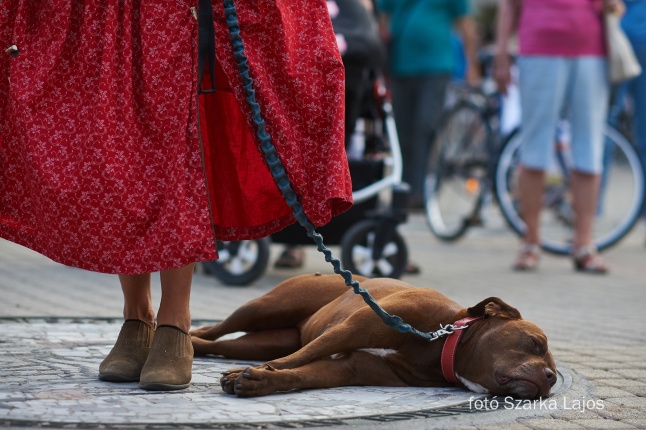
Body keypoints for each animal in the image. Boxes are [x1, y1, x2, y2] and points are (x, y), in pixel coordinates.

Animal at [191, 274, 556, 398]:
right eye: (534, 343)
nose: (552, 377)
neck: (439, 343)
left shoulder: (348, 368)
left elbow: (303, 372)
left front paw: (259, 380)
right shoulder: (352, 329)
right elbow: (295, 359)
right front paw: (249, 373)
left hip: (266, 337)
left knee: (222, 344)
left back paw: (194, 347)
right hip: (266, 307)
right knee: (214, 329)